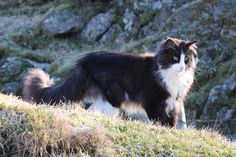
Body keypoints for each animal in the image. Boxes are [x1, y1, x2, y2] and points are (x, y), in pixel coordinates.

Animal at [23, 37, 198, 127]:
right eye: (175, 58)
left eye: (186, 59)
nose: (183, 67)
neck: (174, 77)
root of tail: (83, 62)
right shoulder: (153, 101)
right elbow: (159, 120)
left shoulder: (175, 102)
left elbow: (172, 121)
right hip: (112, 100)